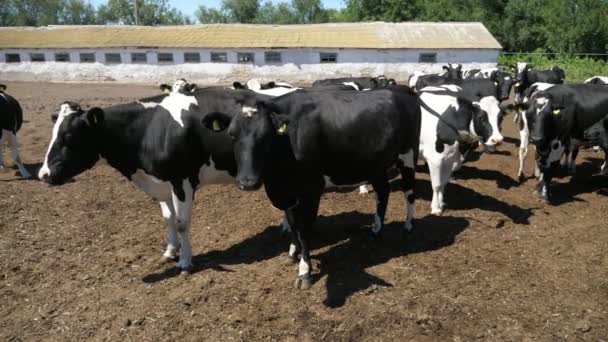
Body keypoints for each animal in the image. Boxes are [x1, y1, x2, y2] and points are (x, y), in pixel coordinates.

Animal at [38, 88, 274, 272]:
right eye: (53, 134)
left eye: (69, 137)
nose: (44, 174)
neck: (148, 131)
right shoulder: (162, 183)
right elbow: (168, 218)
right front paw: (170, 251)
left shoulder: (182, 181)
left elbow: (181, 223)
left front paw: (185, 261)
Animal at [202, 85, 420, 288]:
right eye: (232, 135)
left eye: (266, 136)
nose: (248, 182)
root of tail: (399, 88)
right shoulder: (287, 194)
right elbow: (292, 225)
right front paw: (293, 253)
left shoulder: (311, 190)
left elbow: (304, 230)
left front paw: (304, 270)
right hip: (375, 164)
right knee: (383, 192)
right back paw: (376, 231)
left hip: (408, 154)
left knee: (410, 191)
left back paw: (409, 226)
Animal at [418, 86, 494, 214]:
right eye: (481, 118)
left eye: (500, 117)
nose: (496, 140)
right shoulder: (435, 160)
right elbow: (436, 185)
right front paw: (435, 208)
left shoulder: (450, 160)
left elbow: (443, 184)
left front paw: (441, 204)